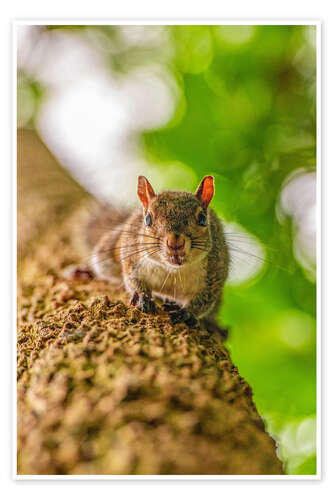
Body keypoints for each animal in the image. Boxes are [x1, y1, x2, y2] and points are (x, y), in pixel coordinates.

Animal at [85, 176, 228, 336]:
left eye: (202, 218)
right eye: (148, 219)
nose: (175, 243)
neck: (172, 270)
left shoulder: (215, 273)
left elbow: (205, 299)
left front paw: (187, 313)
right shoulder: (131, 256)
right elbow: (132, 279)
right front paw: (142, 296)